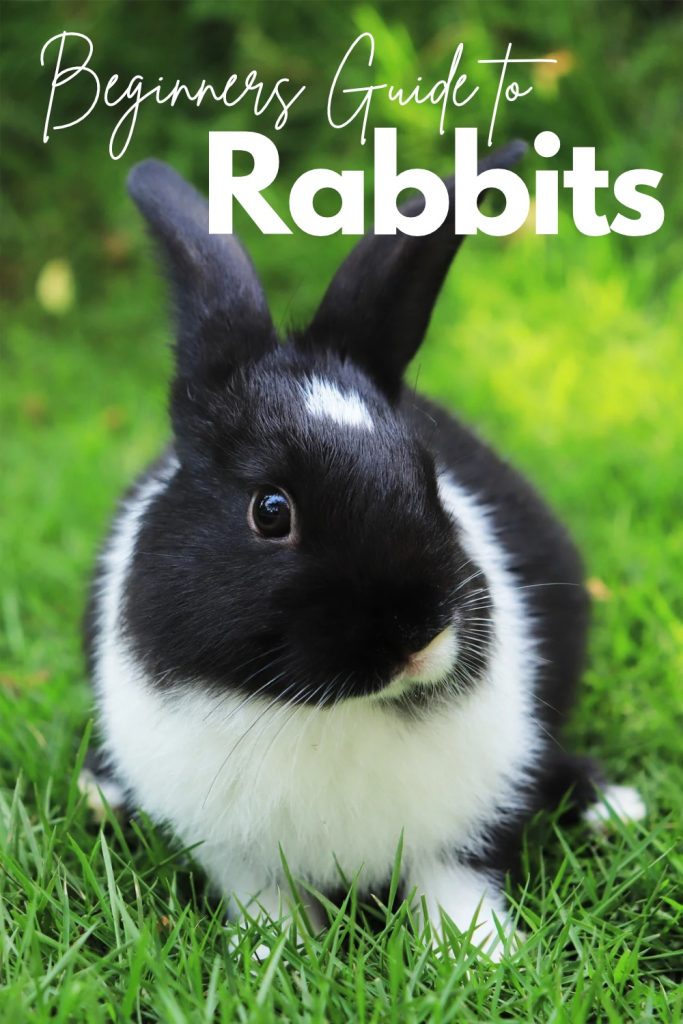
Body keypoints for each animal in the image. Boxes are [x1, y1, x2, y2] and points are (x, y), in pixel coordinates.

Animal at [80, 149, 645, 960]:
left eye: (427, 476)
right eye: (271, 511)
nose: (418, 635)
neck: (327, 709)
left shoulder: (465, 827)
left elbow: (457, 885)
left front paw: (476, 959)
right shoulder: (239, 857)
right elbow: (267, 904)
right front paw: (274, 960)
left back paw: (613, 806)